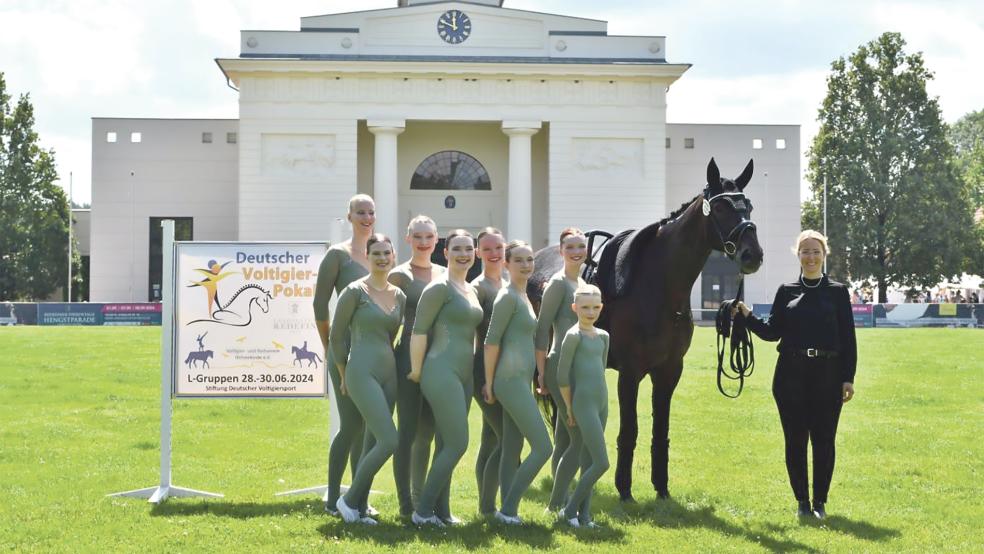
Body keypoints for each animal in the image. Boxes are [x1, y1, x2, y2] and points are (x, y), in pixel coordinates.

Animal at [532, 156, 760, 500]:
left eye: (748, 206)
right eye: (720, 207)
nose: (752, 254)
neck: (658, 287)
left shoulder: (669, 371)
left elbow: (660, 429)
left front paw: (661, 488)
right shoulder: (630, 372)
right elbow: (630, 429)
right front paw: (624, 489)